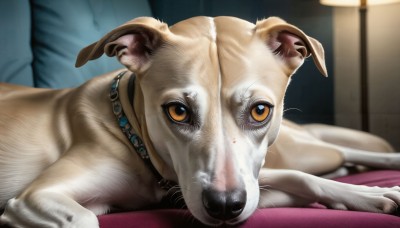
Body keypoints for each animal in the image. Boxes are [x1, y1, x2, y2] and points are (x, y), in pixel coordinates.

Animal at [0, 16, 400, 227]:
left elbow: (300, 180)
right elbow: (86, 218)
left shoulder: (246, 184)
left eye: (260, 110)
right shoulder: (35, 197)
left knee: (336, 150)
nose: (224, 206)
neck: (131, 134)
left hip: (303, 150)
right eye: (177, 110)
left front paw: (371, 194)